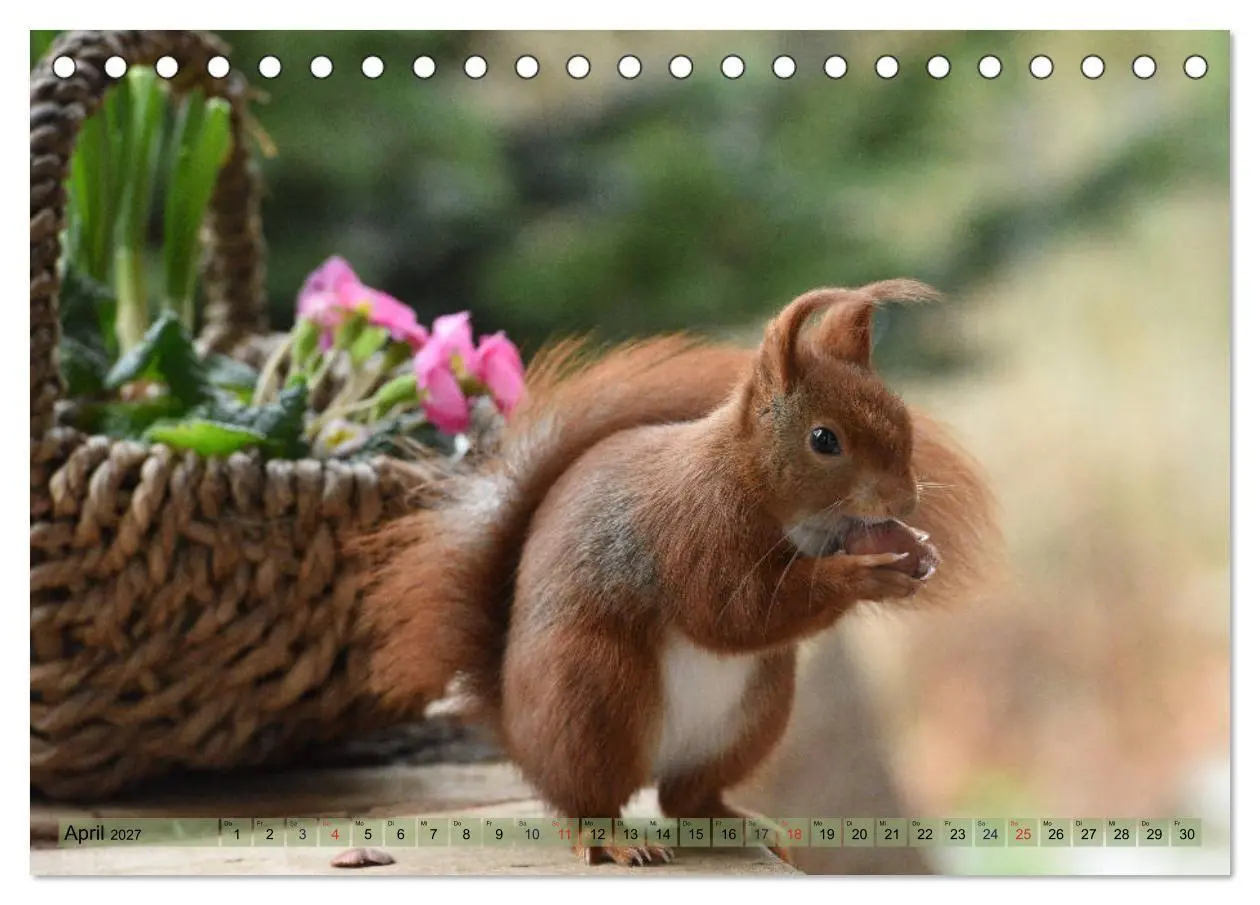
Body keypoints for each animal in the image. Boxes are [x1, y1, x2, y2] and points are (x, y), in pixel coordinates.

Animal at [354, 279, 998, 867]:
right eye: (824, 439)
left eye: (899, 415)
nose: (905, 500)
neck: (750, 478)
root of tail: (515, 731)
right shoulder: (693, 534)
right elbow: (733, 612)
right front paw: (866, 574)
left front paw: (918, 552)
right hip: (592, 691)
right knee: (589, 799)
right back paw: (615, 838)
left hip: (753, 714)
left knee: (685, 798)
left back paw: (742, 825)